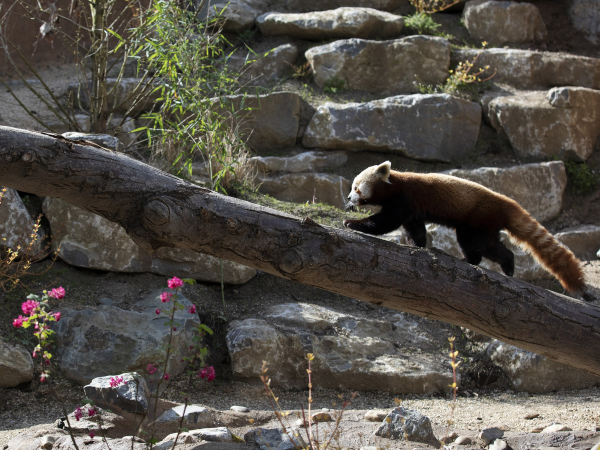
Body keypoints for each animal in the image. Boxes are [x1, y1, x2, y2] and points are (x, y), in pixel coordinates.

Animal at [344, 160, 584, 294]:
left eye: (356, 188)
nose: (348, 198)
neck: (395, 184)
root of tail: (505, 203)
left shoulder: (404, 199)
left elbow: (385, 221)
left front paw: (352, 224)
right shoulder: (412, 211)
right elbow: (415, 229)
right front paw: (417, 244)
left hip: (476, 219)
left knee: (473, 245)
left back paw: (468, 260)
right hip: (487, 226)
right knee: (495, 249)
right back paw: (508, 267)